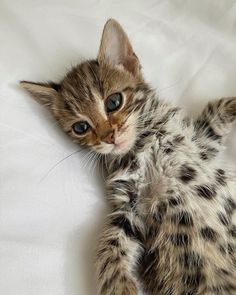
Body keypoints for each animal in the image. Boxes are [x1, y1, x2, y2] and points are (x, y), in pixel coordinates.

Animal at [20, 19, 236, 295]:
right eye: (81, 127)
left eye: (114, 102)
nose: (109, 137)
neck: (147, 142)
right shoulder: (129, 205)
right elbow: (109, 246)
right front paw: (121, 288)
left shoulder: (203, 141)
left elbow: (217, 106)